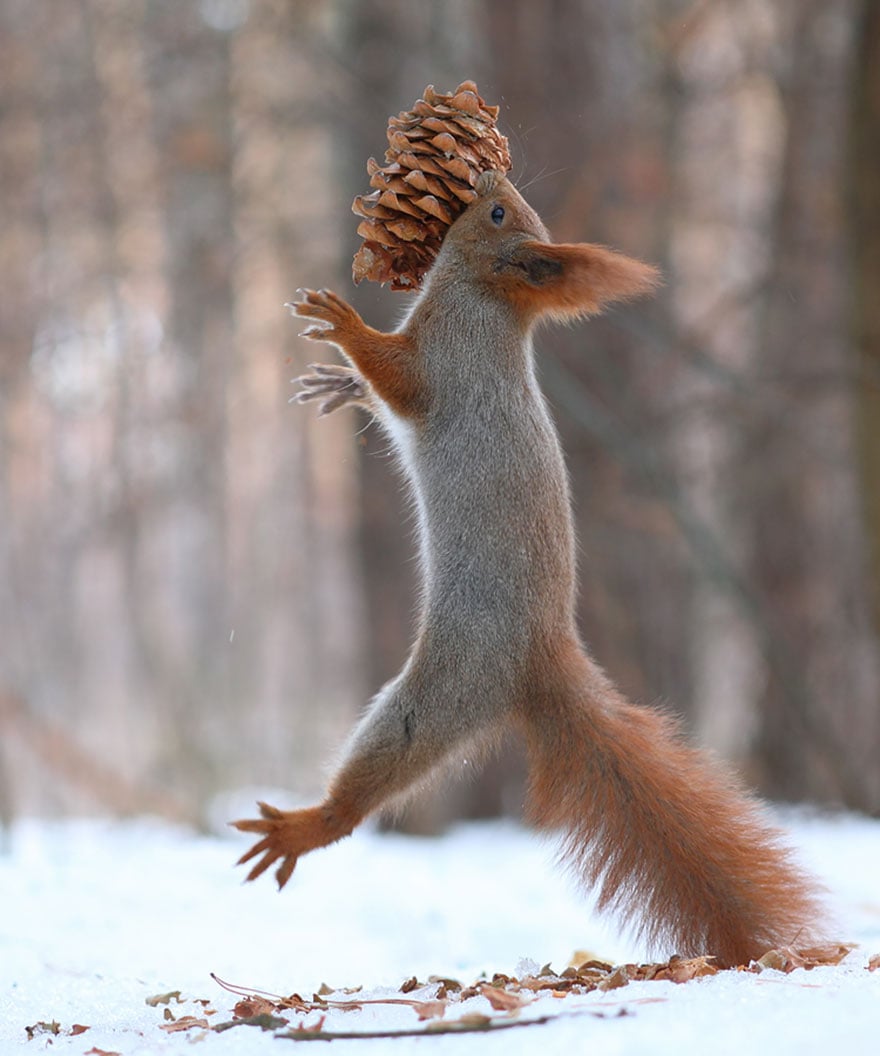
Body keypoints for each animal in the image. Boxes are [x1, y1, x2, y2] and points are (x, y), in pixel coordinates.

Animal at [235, 171, 824, 967]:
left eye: (495, 213)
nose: (489, 176)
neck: (484, 300)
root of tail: (545, 659)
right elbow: (380, 393)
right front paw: (338, 384)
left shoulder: (447, 364)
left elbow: (398, 378)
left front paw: (343, 325)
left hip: (443, 690)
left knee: (383, 767)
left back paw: (306, 824)